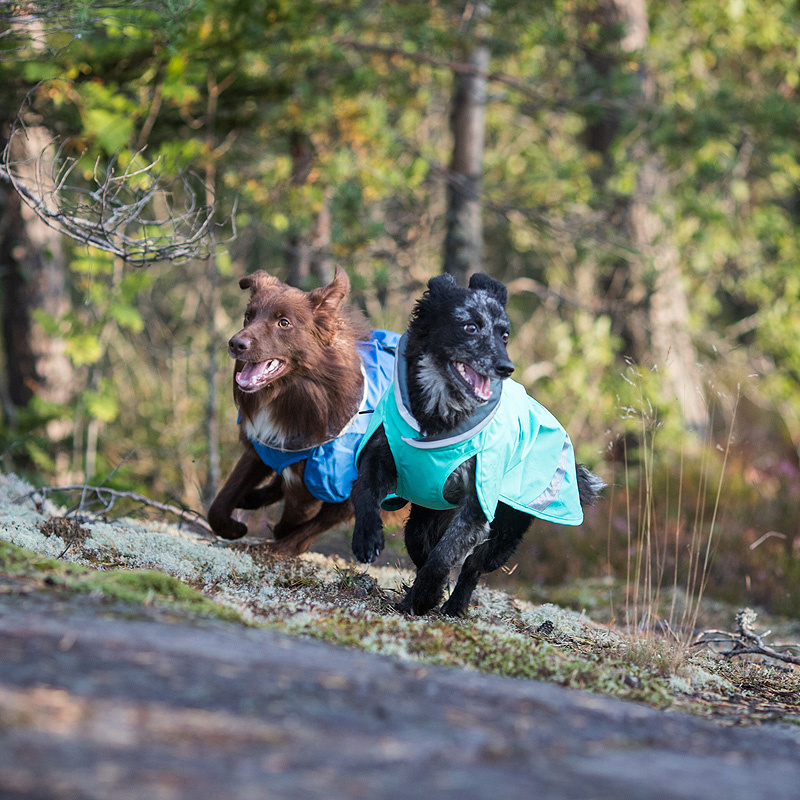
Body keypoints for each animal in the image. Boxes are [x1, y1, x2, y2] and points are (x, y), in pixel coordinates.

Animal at [206, 268, 394, 556]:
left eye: (284, 323)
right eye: (249, 315)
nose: (236, 344)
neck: (292, 393)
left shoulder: (325, 479)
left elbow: (299, 516)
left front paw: (279, 535)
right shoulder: (261, 449)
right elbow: (218, 505)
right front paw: (234, 528)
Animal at [350, 272, 600, 616]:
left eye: (504, 335)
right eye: (470, 327)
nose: (506, 368)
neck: (438, 413)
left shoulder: (477, 504)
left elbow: (443, 557)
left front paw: (425, 597)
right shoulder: (380, 458)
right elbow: (368, 496)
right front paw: (367, 537)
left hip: (505, 533)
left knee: (474, 566)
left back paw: (455, 604)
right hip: (427, 514)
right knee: (422, 544)